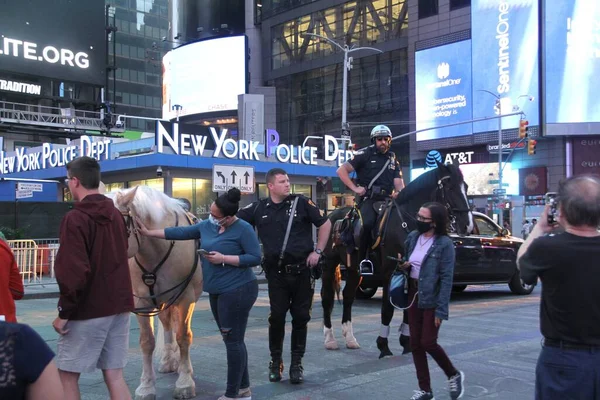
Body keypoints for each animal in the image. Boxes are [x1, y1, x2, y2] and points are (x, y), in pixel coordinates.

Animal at [112, 188, 204, 400]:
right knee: (168, 323)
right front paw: (146, 386)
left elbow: (184, 337)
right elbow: (147, 341)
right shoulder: (142, 302)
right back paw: (168, 360)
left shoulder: (185, 299)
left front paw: (185, 382)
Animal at [322, 162, 472, 360]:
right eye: (449, 187)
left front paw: (406, 343)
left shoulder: (413, 272)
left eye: (466, 187)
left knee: (348, 296)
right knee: (327, 298)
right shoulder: (390, 272)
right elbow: (388, 308)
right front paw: (383, 345)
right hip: (329, 264)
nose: (467, 225)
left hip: (354, 269)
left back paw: (350, 338)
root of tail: (333, 215)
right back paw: (330, 339)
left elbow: (409, 308)